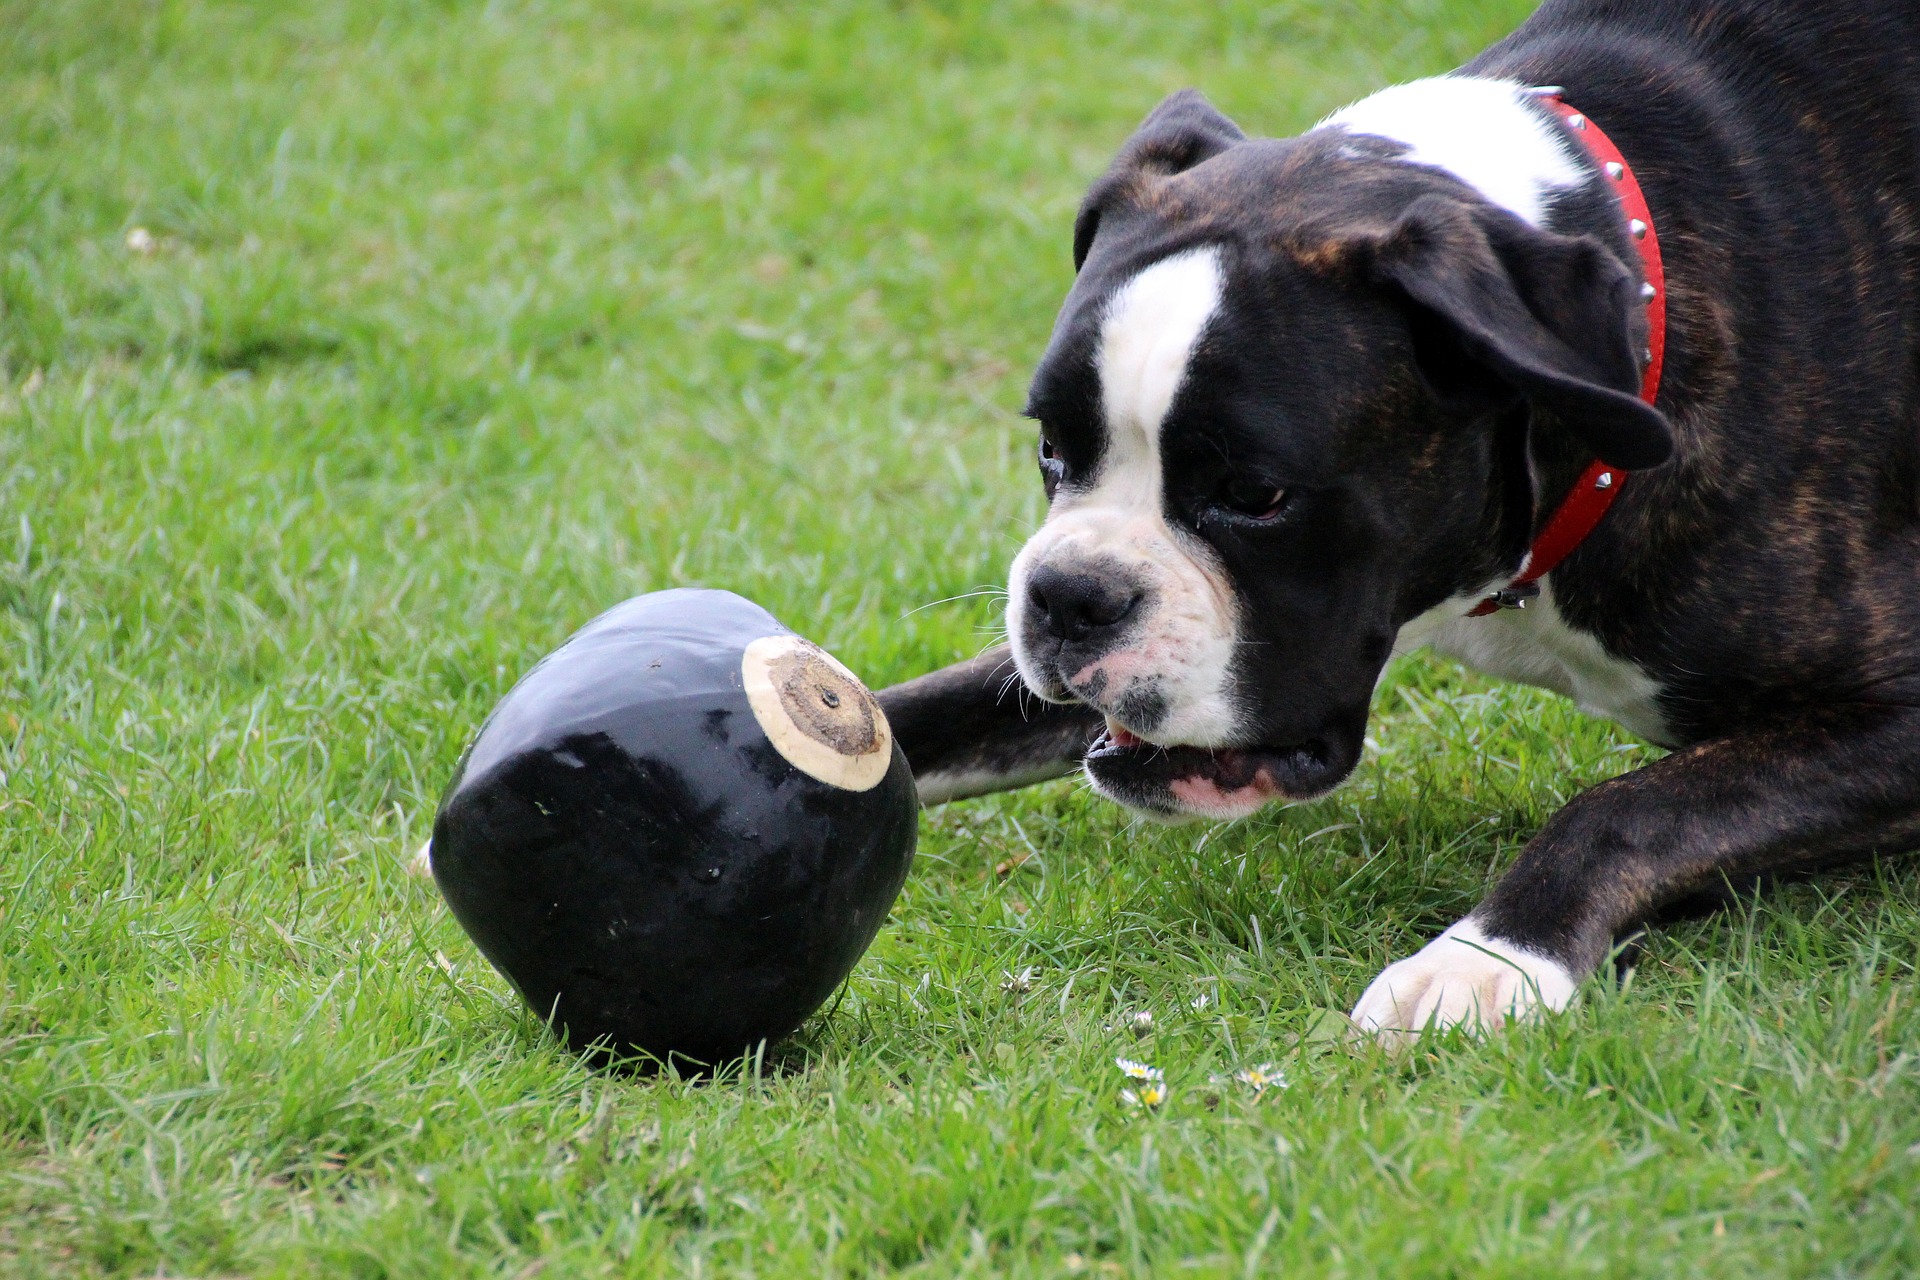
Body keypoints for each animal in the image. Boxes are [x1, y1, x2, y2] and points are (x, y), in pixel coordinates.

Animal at [879, 0, 1920, 1043]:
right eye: (1053, 448)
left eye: (1256, 495)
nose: (1070, 596)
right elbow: (907, 715)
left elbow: (1627, 807)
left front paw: (1484, 956)